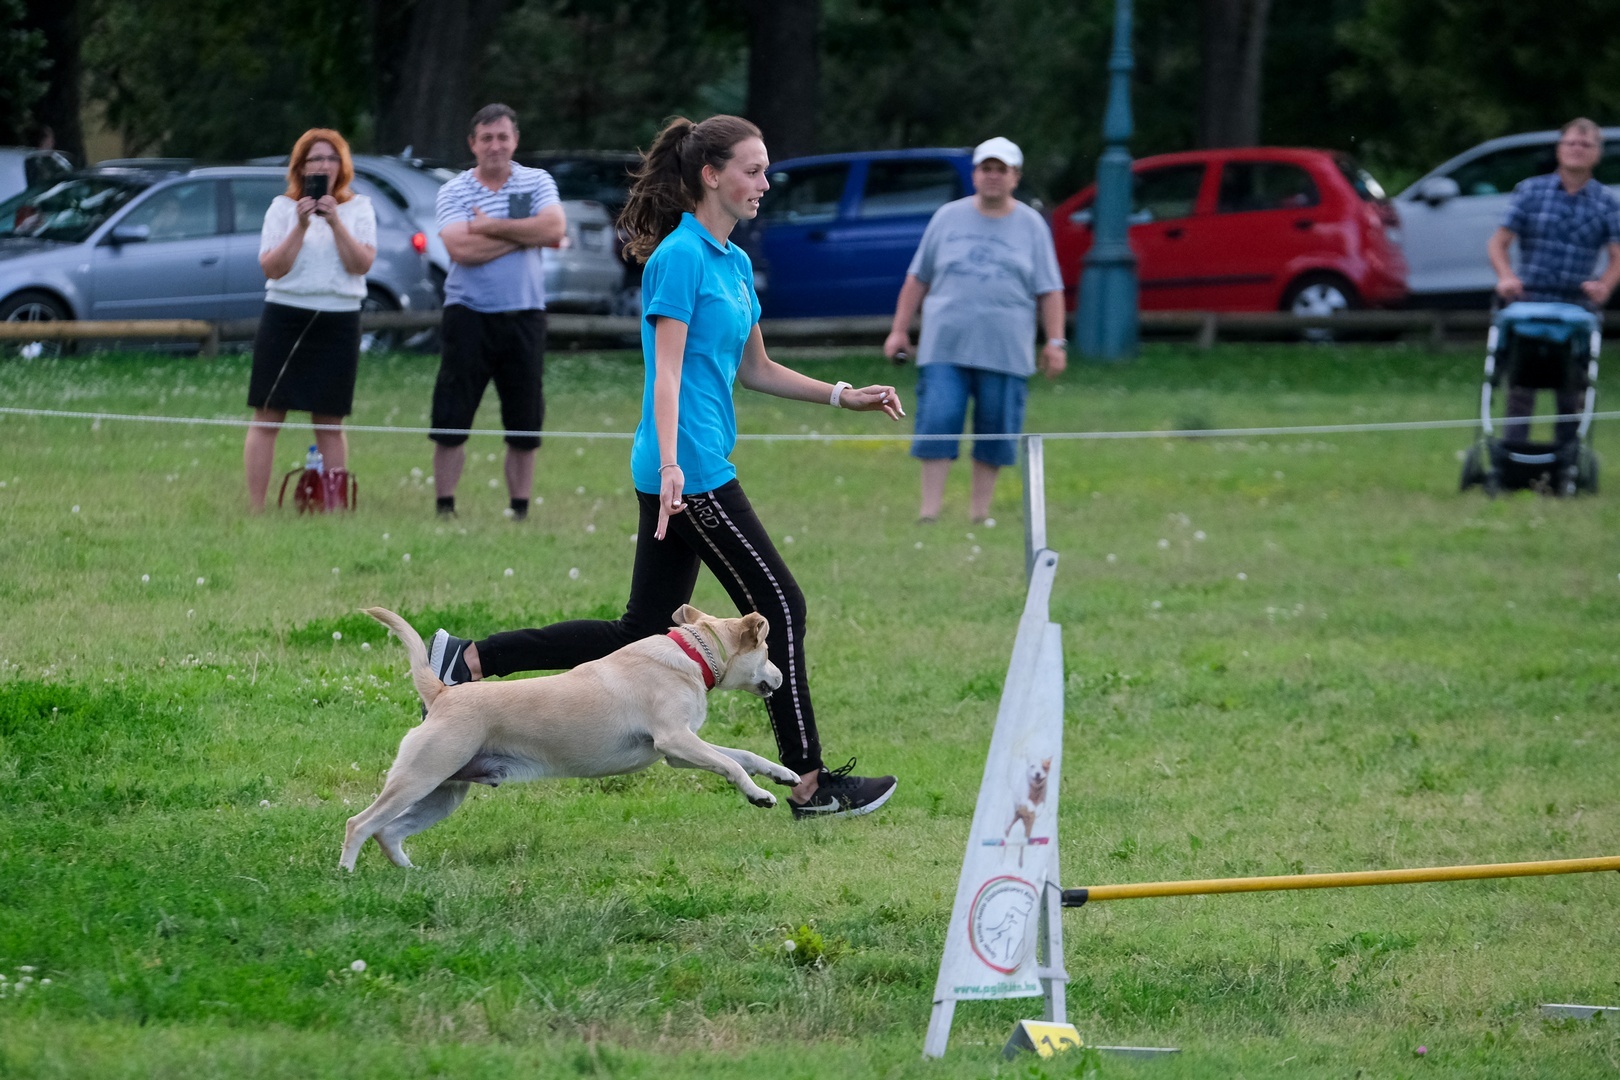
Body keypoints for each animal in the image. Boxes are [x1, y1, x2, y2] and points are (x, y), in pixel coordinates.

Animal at [341, 605, 795, 870]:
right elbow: (731, 763)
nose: (780, 677)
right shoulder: (675, 740)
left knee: (389, 832)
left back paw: (411, 875)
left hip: (444, 793)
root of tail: (441, 694)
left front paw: (782, 775)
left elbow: (743, 754)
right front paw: (758, 795)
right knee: (359, 824)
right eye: (769, 652)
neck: (694, 654)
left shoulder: (681, 750)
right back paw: (346, 875)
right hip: (419, 777)